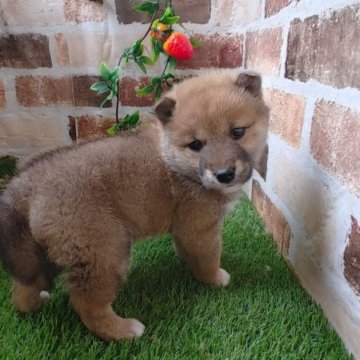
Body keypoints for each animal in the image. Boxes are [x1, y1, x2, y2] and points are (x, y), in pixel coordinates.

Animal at [0, 69, 268, 340]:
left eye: (237, 132)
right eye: (196, 145)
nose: (224, 174)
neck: (174, 160)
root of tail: (27, 181)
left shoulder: (185, 230)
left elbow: (189, 252)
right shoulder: (200, 229)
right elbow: (209, 257)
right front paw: (215, 278)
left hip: (43, 250)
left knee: (25, 286)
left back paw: (34, 304)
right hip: (106, 251)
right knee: (87, 303)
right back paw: (124, 330)